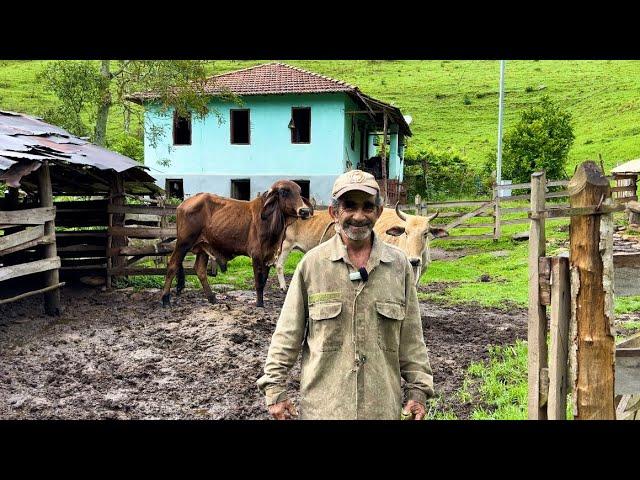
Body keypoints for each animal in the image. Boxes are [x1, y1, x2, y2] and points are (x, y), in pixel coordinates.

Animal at [161, 180, 314, 308]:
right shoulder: (257, 255)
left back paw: (212, 298)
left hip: (203, 247)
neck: (271, 222)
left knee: (200, 270)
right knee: (172, 265)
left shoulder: (269, 255)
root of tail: (182, 205)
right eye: (283, 191)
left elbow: (264, 280)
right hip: (183, 243)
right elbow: (258, 282)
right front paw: (259, 304)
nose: (304, 211)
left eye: (299, 192)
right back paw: (165, 299)